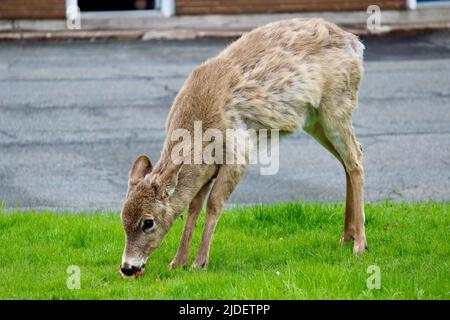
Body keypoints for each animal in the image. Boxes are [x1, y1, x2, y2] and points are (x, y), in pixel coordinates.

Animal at [118, 18, 366, 278]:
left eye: (148, 222)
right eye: (122, 219)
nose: (127, 267)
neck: (200, 127)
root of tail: (355, 44)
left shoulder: (238, 155)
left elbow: (214, 204)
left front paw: (199, 262)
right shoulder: (206, 169)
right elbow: (193, 207)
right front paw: (177, 262)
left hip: (336, 105)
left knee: (355, 158)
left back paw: (359, 245)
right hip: (314, 120)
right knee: (349, 159)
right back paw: (346, 237)